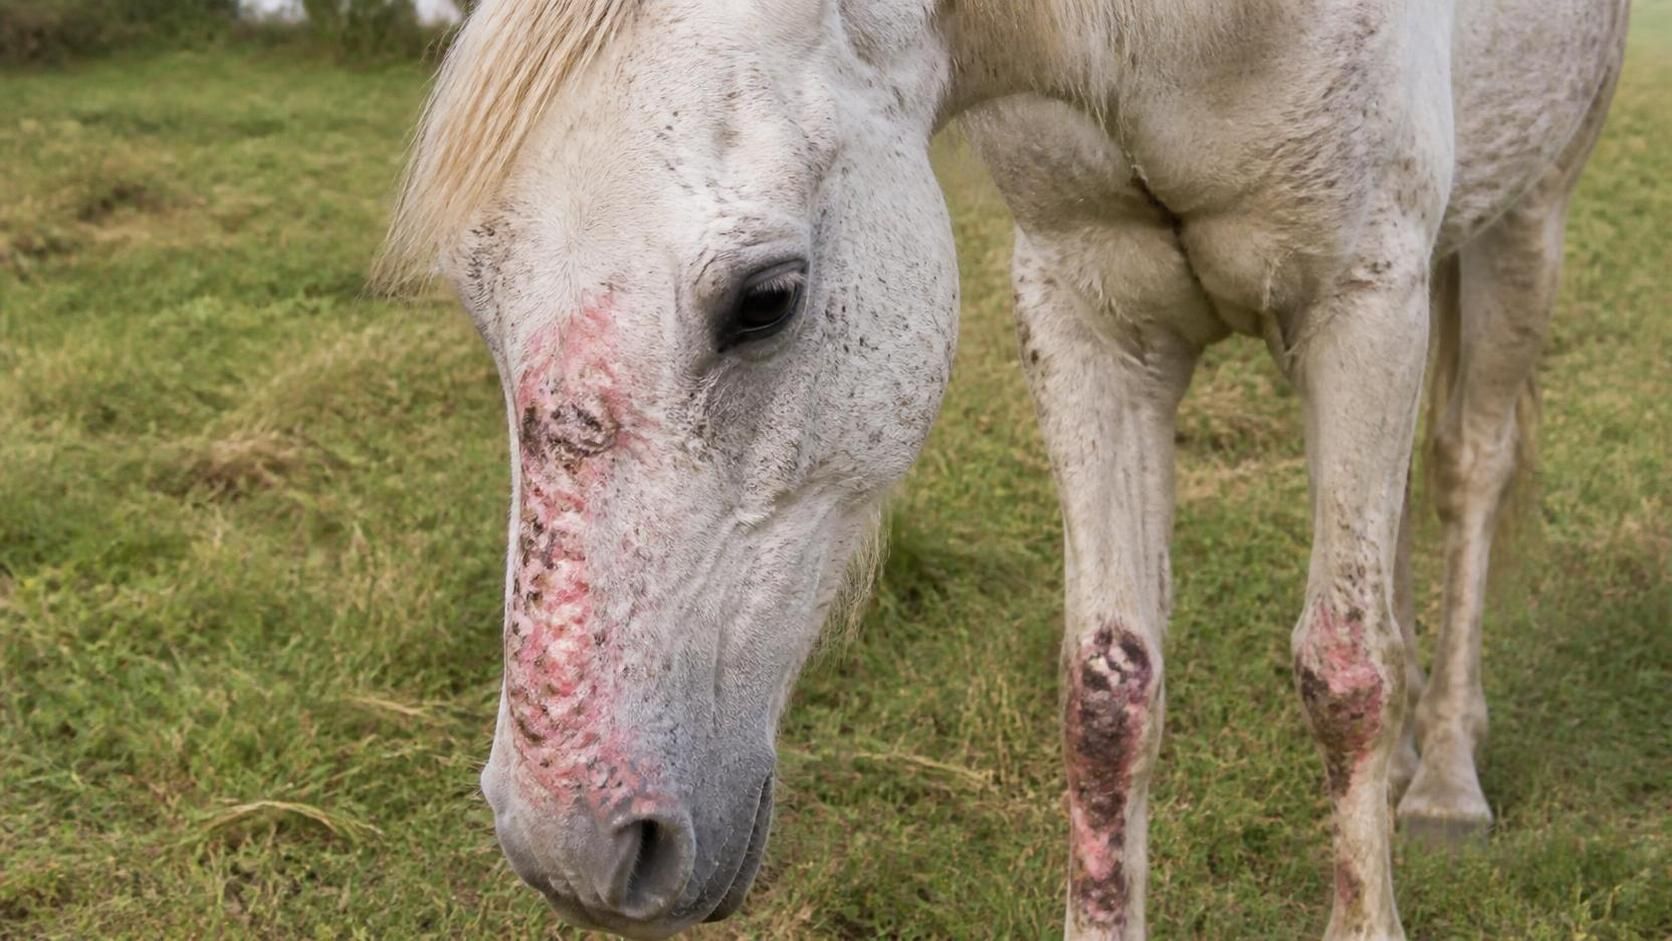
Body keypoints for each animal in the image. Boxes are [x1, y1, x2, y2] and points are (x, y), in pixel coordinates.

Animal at [374, 1, 1630, 937]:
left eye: (765, 298)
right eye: (477, 299)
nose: (568, 844)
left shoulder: (1362, 299)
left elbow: (1345, 672)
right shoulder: (1086, 310)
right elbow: (1109, 693)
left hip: (1522, 227)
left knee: (1466, 475)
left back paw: (1446, 776)